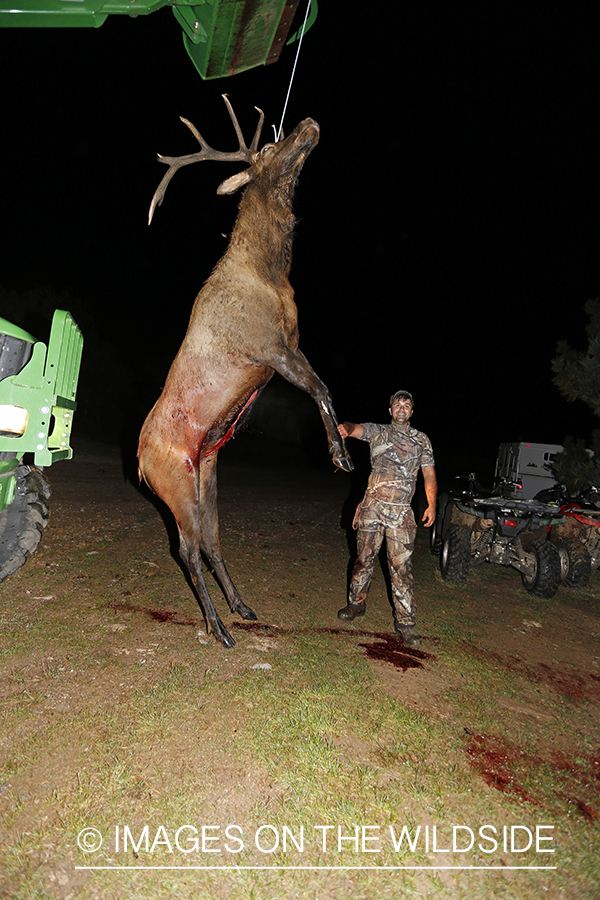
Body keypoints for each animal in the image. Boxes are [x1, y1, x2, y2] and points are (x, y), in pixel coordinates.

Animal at [137, 96, 352, 648]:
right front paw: (340, 455)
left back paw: (241, 606)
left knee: (211, 541)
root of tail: (141, 465)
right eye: (271, 150)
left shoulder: (291, 343)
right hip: (174, 483)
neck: (270, 271)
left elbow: (322, 385)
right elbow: (320, 387)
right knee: (185, 549)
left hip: (206, 474)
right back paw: (217, 627)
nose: (308, 123)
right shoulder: (267, 347)